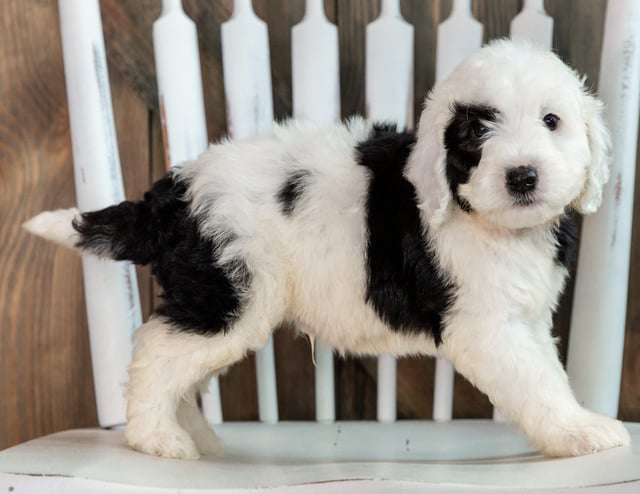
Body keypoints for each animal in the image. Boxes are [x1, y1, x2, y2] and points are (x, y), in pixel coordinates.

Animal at [26, 40, 632, 462]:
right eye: (475, 136)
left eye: (552, 121)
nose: (522, 176)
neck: (490, 221)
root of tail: (173, 191)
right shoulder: (487, 326)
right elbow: (535, 382)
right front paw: (581, 431)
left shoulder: (524, 317)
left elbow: (549, 374)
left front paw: (577, 423)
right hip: (229, 293)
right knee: (155, 351)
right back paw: (157, 439)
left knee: (177, 361)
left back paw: (189, 432)